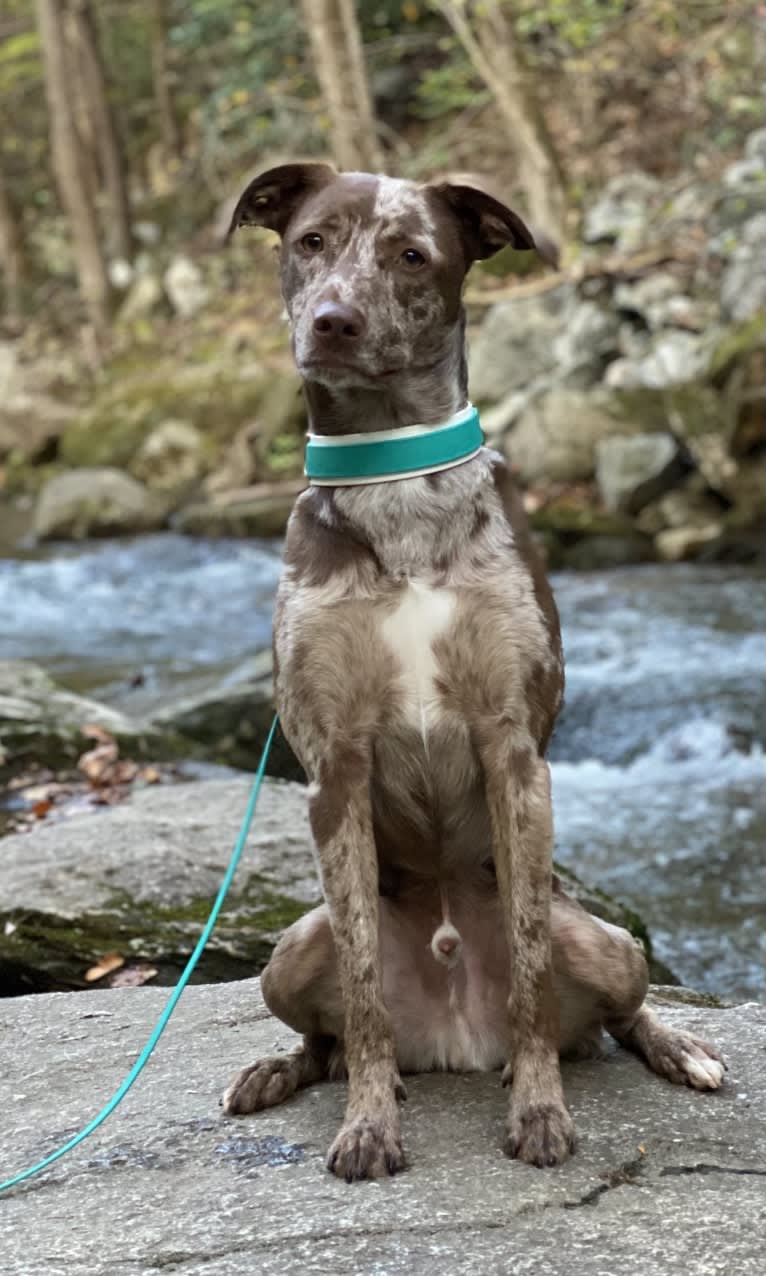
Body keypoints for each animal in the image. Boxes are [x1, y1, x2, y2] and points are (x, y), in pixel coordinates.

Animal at [219, 164, 725, 1179]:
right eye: (312, 241)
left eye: (413, 254)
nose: (332, 320)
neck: (395, 485)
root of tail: (456, 1042)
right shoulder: (335, 772)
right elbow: (364, 999)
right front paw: (368, 1125)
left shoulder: (513, 755)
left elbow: (529, 973)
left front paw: (539, 1111)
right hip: (287, 954)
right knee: (325, 1037)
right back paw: (276, 1071)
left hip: (609, 941)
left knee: (621, 1014)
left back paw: (678, 1048)